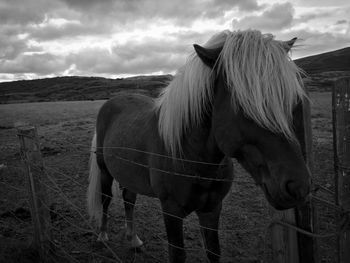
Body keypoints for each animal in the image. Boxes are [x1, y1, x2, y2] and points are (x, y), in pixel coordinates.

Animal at [87, 29, 312, 262]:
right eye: (243, 105)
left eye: (293, 101)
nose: (298, 186)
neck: (190, 155)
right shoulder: (171, 211)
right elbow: (177, 255)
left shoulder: (211, 209)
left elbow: (213, 252)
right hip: (105, 171)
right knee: (105, 199)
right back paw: (102, 236)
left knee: (129, 199)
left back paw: (133, 240)